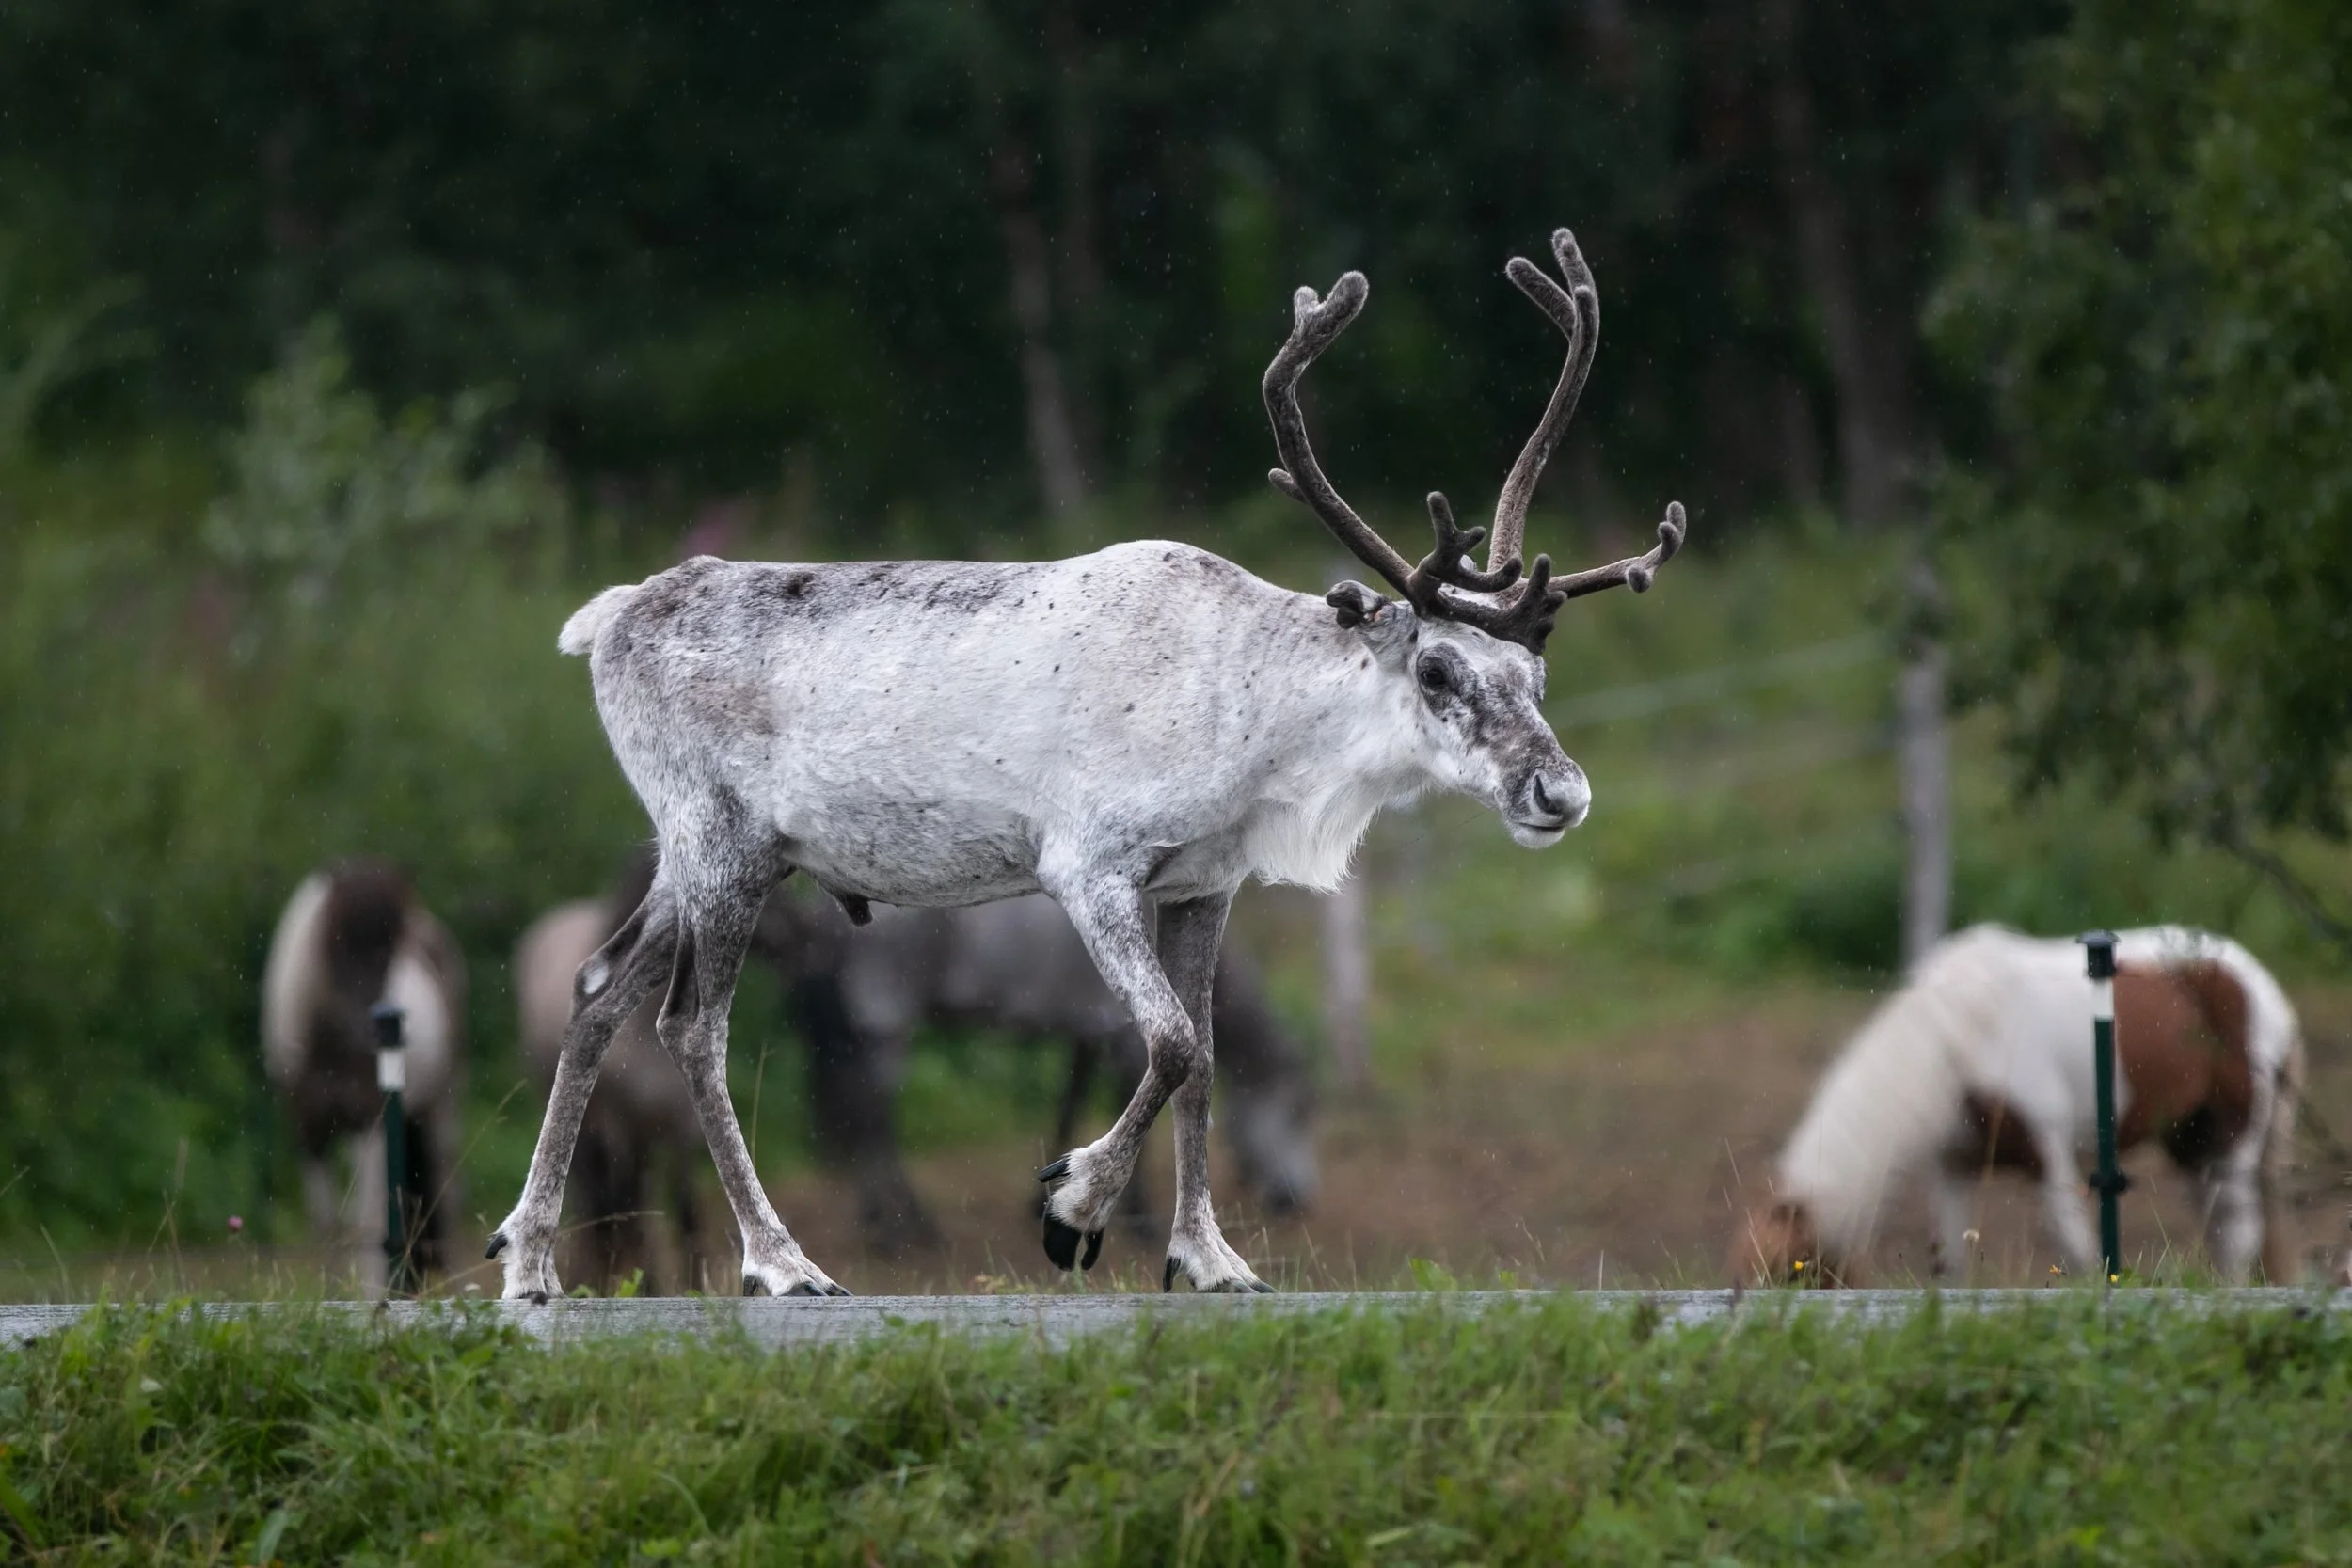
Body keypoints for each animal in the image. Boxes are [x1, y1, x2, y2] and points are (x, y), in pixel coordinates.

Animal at [261, 858, 466, 1287]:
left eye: (391, 949)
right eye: (335, 940)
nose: (374, 1029)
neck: (326, 1047)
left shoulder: (368, 1125)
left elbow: (364, 1223)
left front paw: (369, 1293)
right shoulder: (309, 1133)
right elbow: (325, 1223)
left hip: (441, 1105)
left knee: (449, 1191)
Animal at [1735, 924, 2303, 1285]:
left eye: (1793, 1272)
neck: (1958, 1040)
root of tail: (2256, 980)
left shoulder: (2050, 1159)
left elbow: (2079, 1252)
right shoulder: (1955, 1168)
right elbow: (1950, 1264)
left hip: (2231, 1138)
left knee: (2237, 1234)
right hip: (2191, 1142)